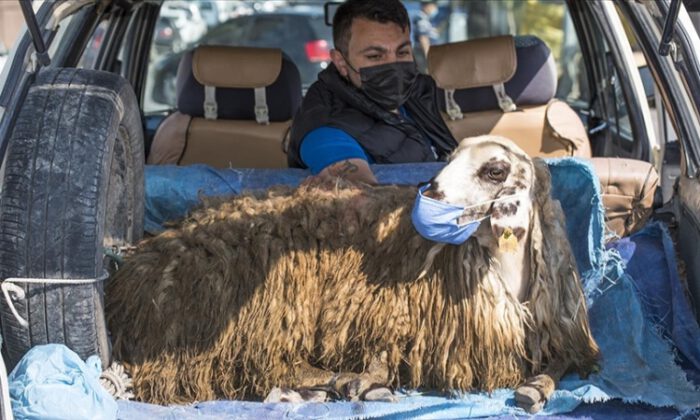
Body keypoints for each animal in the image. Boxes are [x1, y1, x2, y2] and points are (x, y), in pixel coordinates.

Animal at [106, 136, 600, 412]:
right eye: (449, 155)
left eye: (494, 169)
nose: (430, 191)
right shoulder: (383, 316)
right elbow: (379, 354)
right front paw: (366, 380)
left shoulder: (559, 336)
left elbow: (559, 366)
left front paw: (535, 389)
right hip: (267, 309)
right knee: (267, 364)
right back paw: (350, 384)